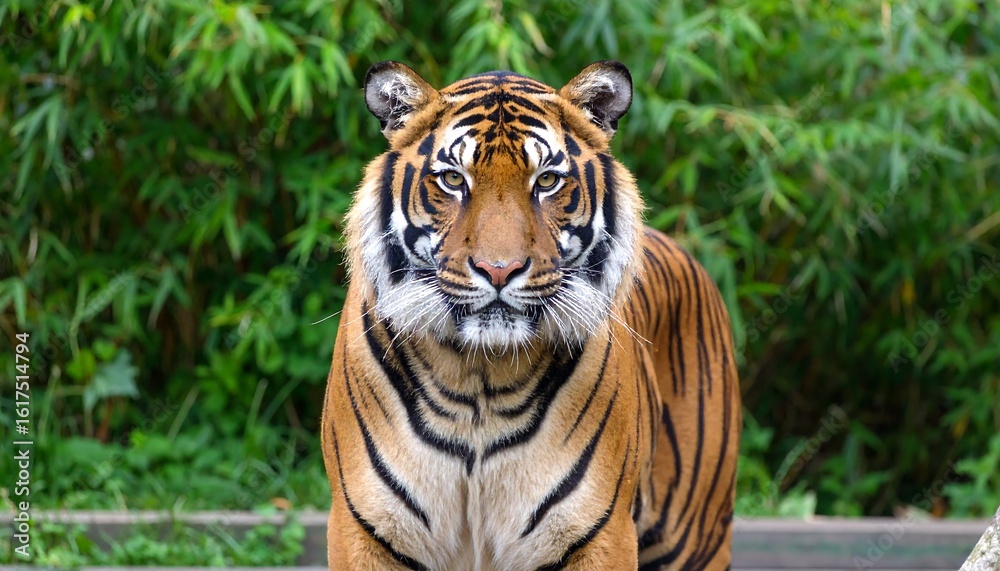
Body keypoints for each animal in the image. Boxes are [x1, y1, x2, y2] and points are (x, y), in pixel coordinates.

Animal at [321, 60, 741, 570]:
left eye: (546, 181)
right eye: (453, 180)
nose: (499, 269)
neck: (479, 380)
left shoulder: (596, 532)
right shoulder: (365, 525)